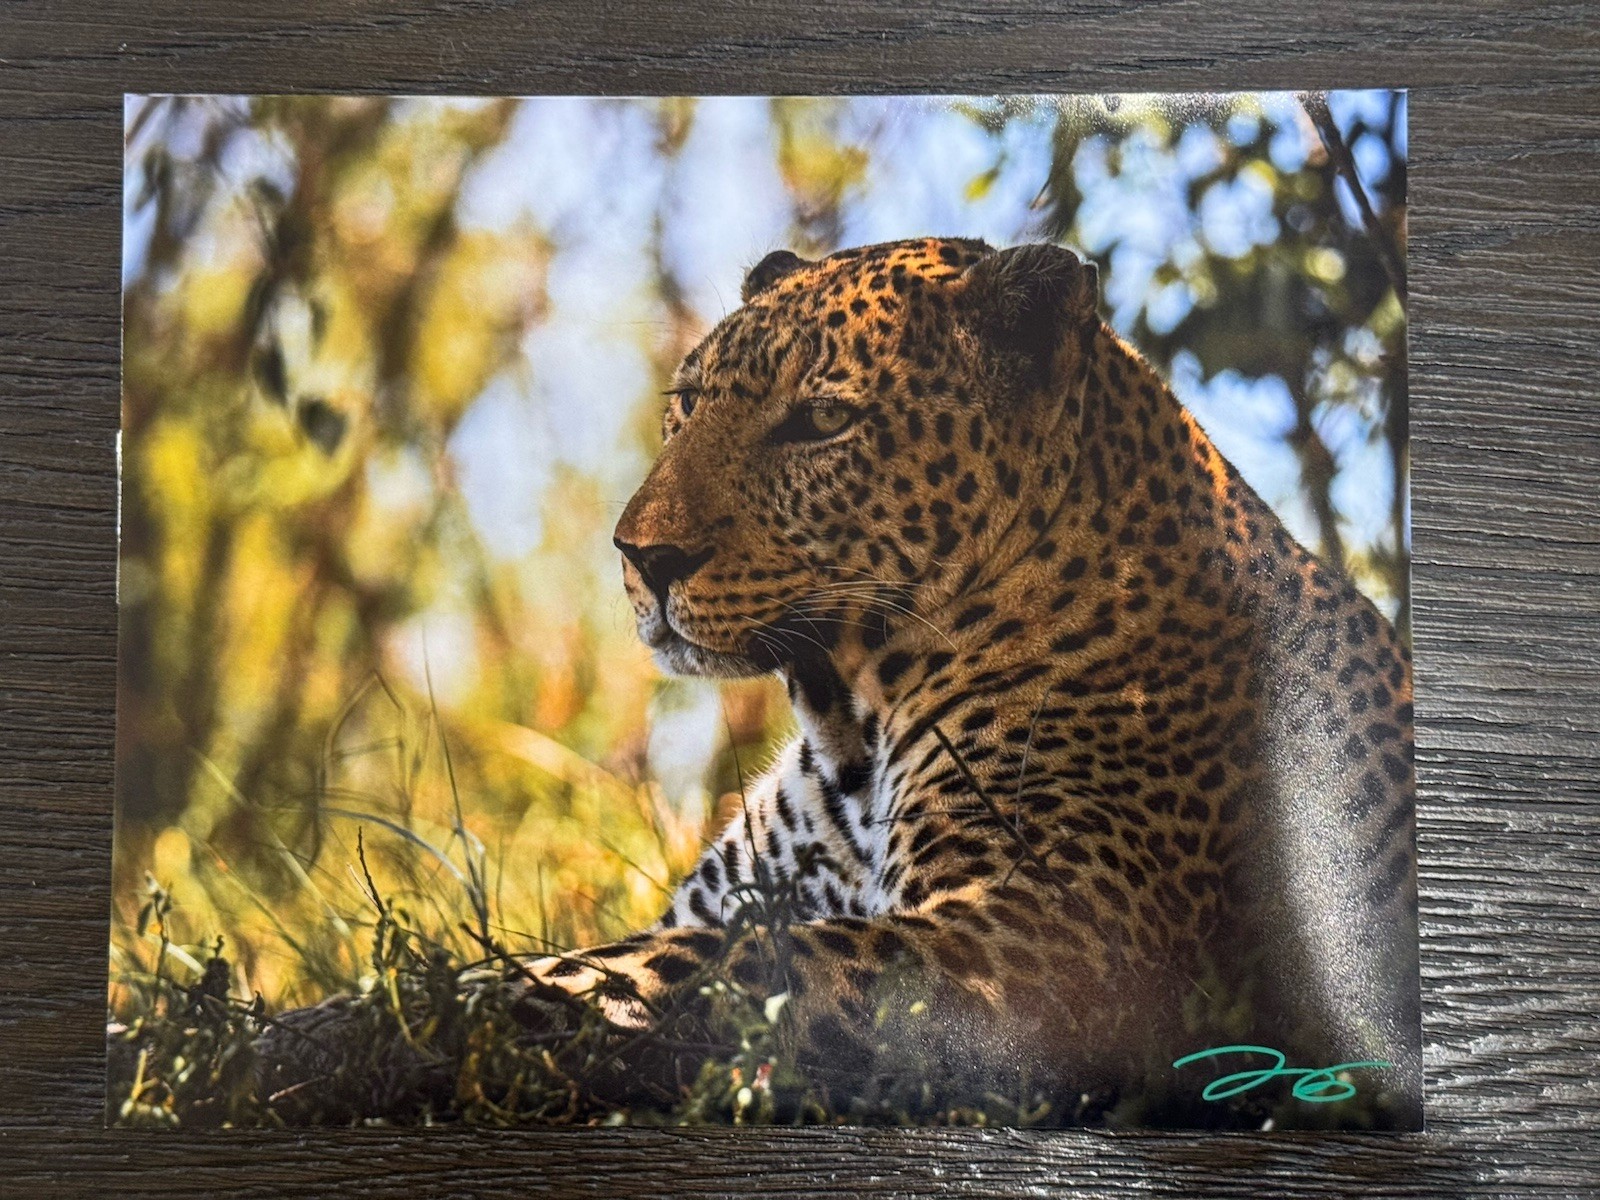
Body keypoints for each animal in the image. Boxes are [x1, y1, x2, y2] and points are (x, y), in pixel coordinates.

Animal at [265, 236, 1423, 1128]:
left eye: (820, 422)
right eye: (686, 405)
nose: (641, 556)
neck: (849, 717)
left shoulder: (1052, 940)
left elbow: (689, 975)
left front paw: (321, 1042)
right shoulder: (734, 894)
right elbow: (613, 955)